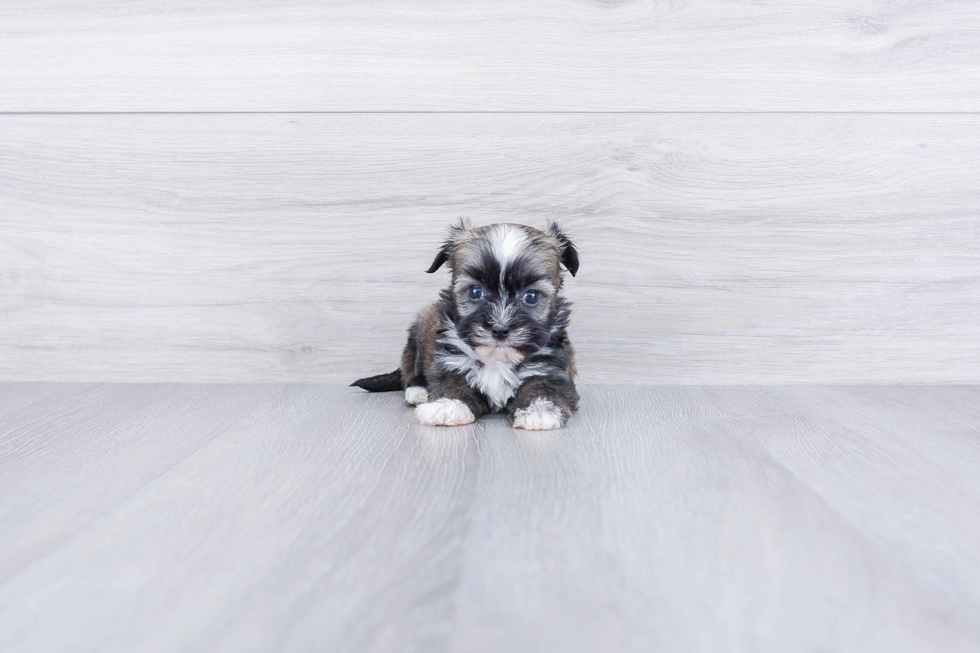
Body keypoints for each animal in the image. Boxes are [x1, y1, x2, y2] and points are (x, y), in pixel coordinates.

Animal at [352, 222, 580, 430]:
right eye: (475, 292)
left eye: (531, 296)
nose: (500, 329)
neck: (497, 359)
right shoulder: (452, 361)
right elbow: (453, 383)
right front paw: (448, 405)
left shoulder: (549, 368)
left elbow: (543, 387)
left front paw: (539, 410)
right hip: (415, 341)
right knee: (410, 372)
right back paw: (418, 391)